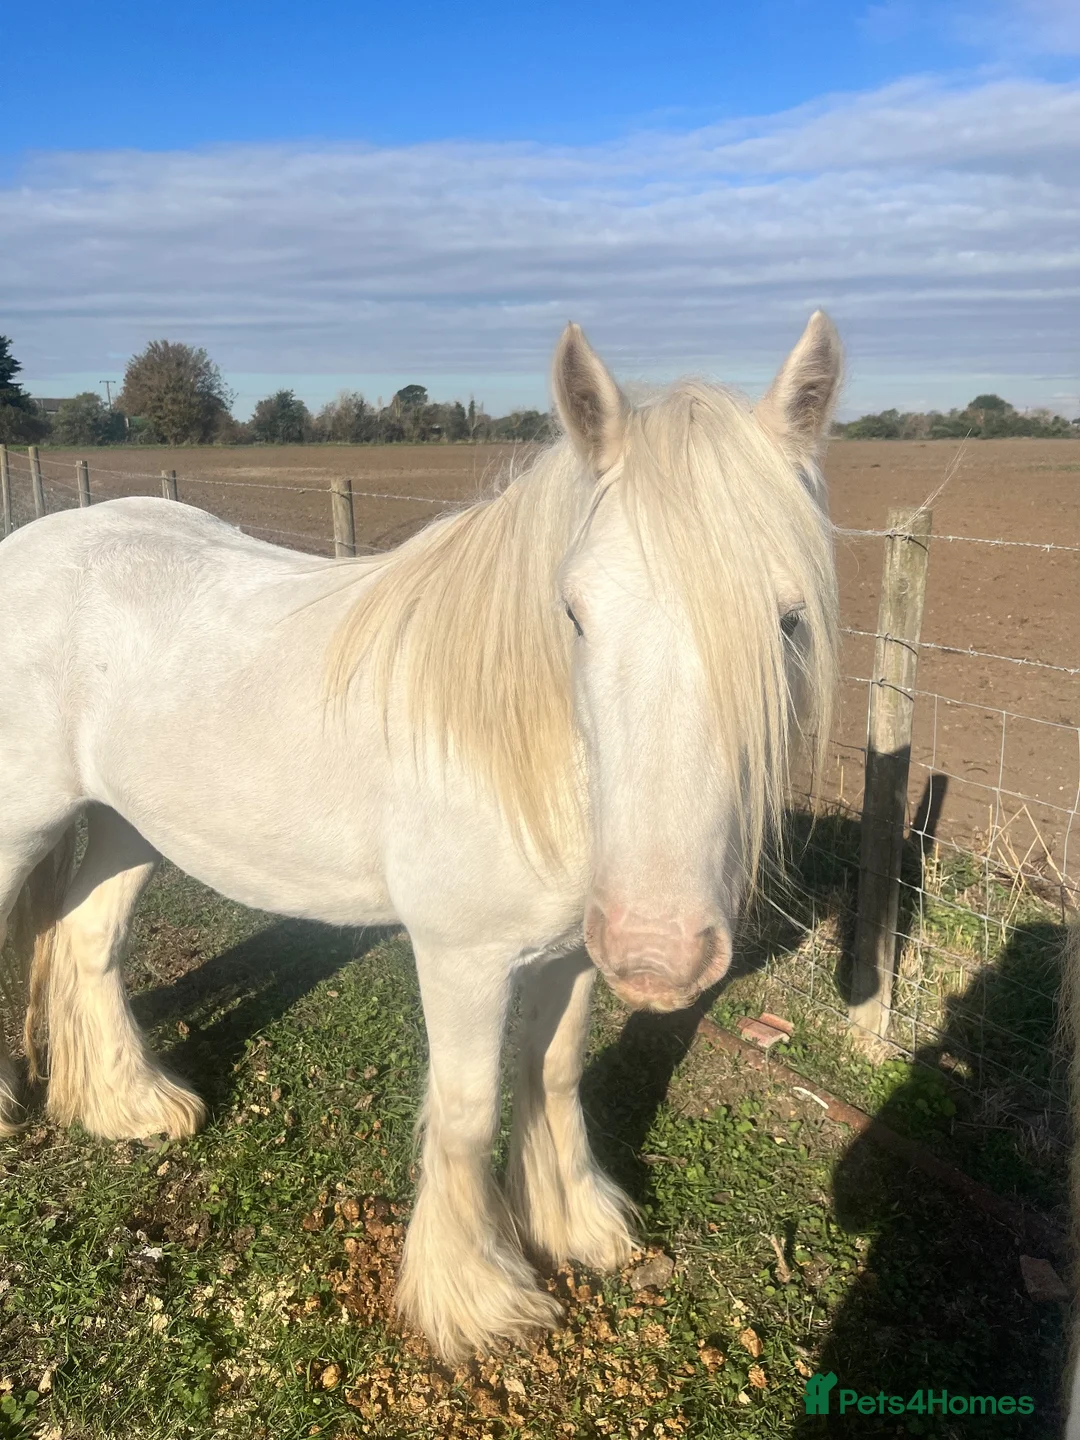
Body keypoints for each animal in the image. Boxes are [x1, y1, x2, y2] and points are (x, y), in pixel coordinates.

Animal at [0, 314, 841, 1361]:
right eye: (575, 613)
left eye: (790, 619)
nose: (659, 952)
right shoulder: (462, 958)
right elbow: (468, 1111)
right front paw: (477, 1298)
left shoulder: (571, 955)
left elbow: (553, 1075)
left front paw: (578, 1225)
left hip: (126, 820)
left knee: (87, 942)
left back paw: (131, 1106)